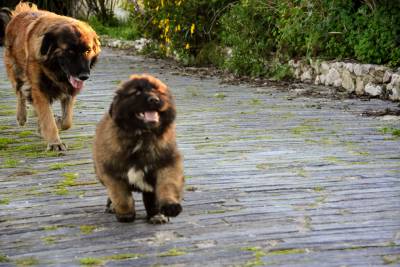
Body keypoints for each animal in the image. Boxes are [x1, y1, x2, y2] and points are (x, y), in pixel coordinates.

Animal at [3, 2, 100, 151]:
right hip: (16, 71)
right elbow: (48, 118)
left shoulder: (69, 90)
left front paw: (58, 122)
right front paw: (55, 143)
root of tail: (19, 14)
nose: (84, 76)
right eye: (69, 51)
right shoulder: (39, 89)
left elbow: (67, 121)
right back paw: (21, 116)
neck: (55, 70)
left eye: (88, 50)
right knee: (20, 92)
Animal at [92, 74, 184, 224]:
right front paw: (125, 214)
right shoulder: (111, 172)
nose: (154, 100)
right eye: (137, 92)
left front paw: (168, 208)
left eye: (157, 90)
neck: (142, 136)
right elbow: (121, 196)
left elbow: (167, 184)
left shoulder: (167, 163)